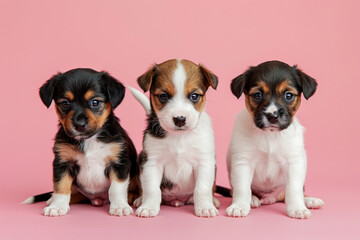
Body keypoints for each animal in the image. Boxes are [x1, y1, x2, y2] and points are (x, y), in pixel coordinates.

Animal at [23, 68, 136, 217]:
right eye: (65, 103)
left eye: (95, 102)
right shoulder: (63, 164)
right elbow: (61, 186)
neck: (88, 140)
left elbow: (116, 188)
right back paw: (51, 200)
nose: (79, 125)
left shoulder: (119, 163)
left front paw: (119, 207)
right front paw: (57, 206)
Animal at [129, 58, 219, 218]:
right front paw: (149, 207)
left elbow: (202, 188)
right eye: (163, 96)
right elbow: (152, 189)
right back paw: (140, 199)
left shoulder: (205, 162)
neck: (179, 137)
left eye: (194, 96)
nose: (180, 119)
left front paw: (205, 207)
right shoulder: (152, 162)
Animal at [226, 61, 324, 218]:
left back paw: (310, 201)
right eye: (257, 95)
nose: (272, 116)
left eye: (288, 95)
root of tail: (270, 198)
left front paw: (297, 208)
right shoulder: (243, 162)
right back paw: (253, 199)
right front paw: (239, 206)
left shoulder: (293, 163)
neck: (270, 135)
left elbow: (294, 189)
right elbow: (242, 188)